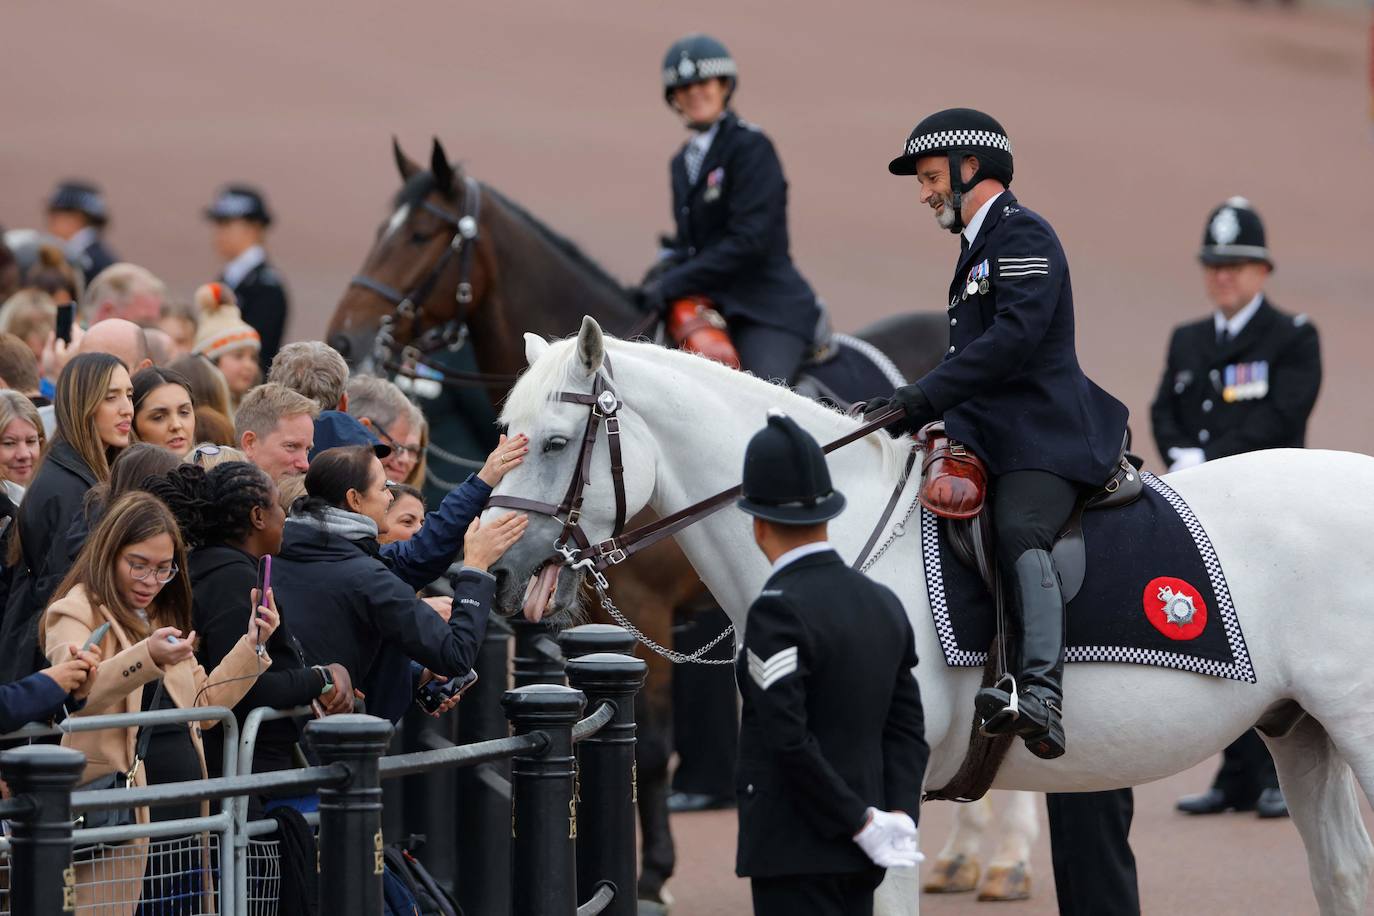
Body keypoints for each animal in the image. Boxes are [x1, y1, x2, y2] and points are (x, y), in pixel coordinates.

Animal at [327, 140, 950, 906]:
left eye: (419, 234)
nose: (346, 333)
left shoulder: (646, 610)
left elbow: (650, 748)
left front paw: (651, 873)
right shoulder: (603, 599)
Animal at [483, 317, 1374, 916]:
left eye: (555, 442)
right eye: (502, 435)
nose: (496, 571)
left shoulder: (886, 792)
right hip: (1301, 734)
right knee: (1345, 877)